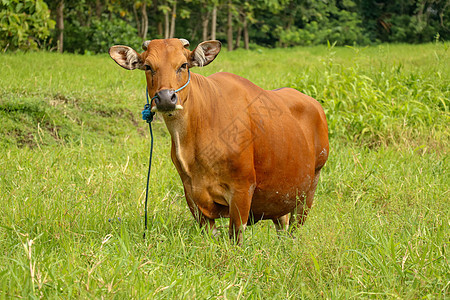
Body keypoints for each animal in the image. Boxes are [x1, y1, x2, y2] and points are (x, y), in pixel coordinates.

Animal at [109, 38, 326, 244]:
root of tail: (315, 104)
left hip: (309, 188)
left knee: (294, 228)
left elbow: (236, 236)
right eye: (148, 66)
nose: (165, 98)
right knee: (282, 224)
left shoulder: (242, 189)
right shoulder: (192, 194)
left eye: (183, 65)